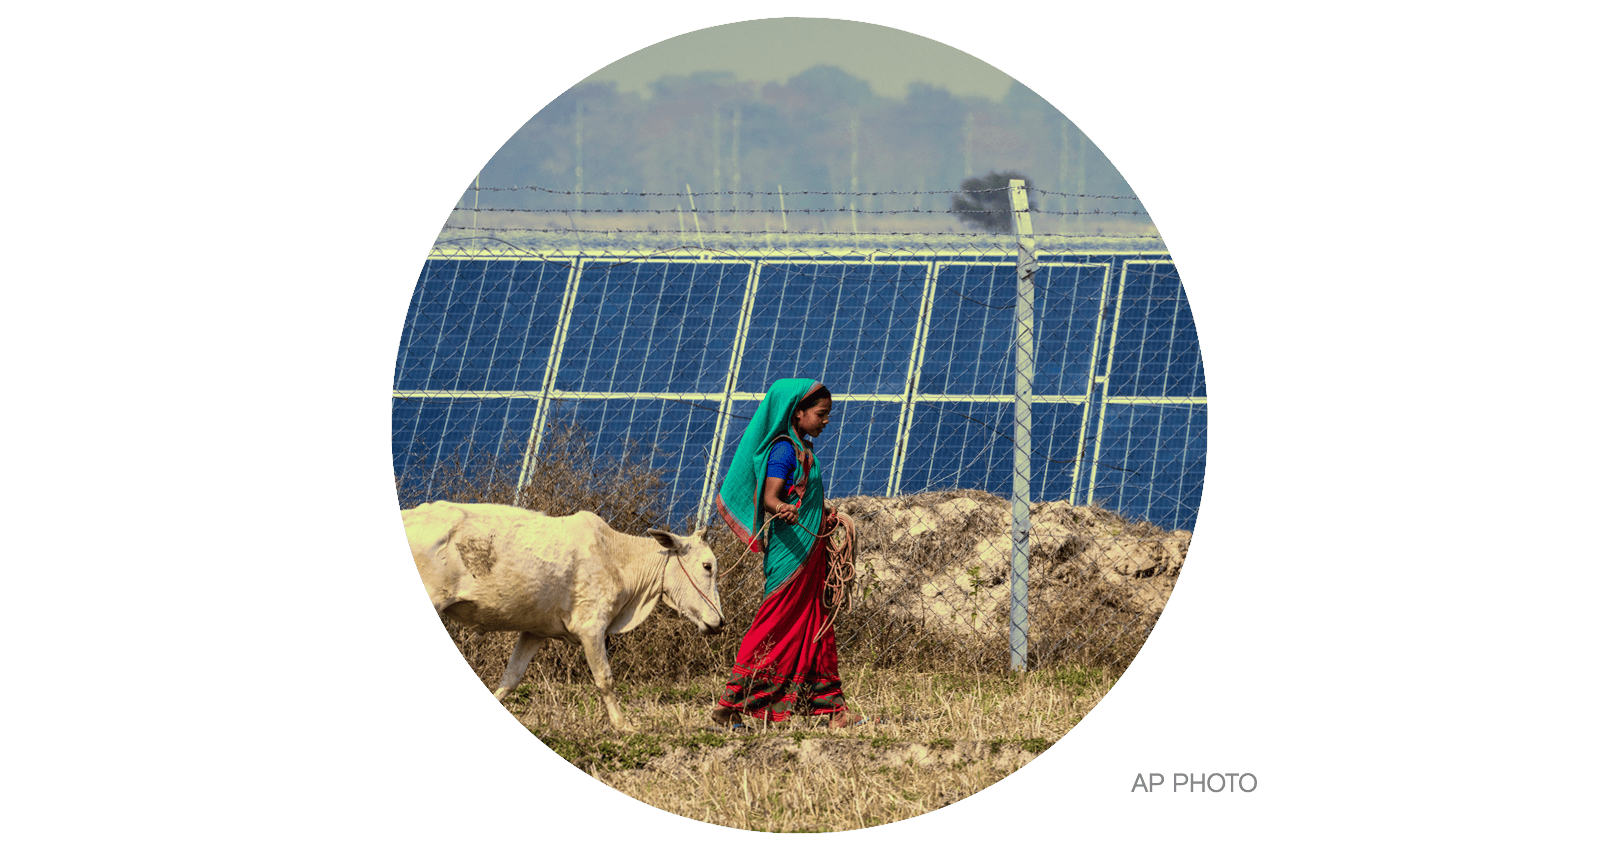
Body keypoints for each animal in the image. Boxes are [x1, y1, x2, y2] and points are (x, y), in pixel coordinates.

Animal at [403, 502, 723, 736]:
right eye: (707, 566)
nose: (720, 622)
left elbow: (511, 677)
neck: (617, 556)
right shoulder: (592, 627)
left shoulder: (535, 631)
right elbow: (605, 678)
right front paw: (624, 725)